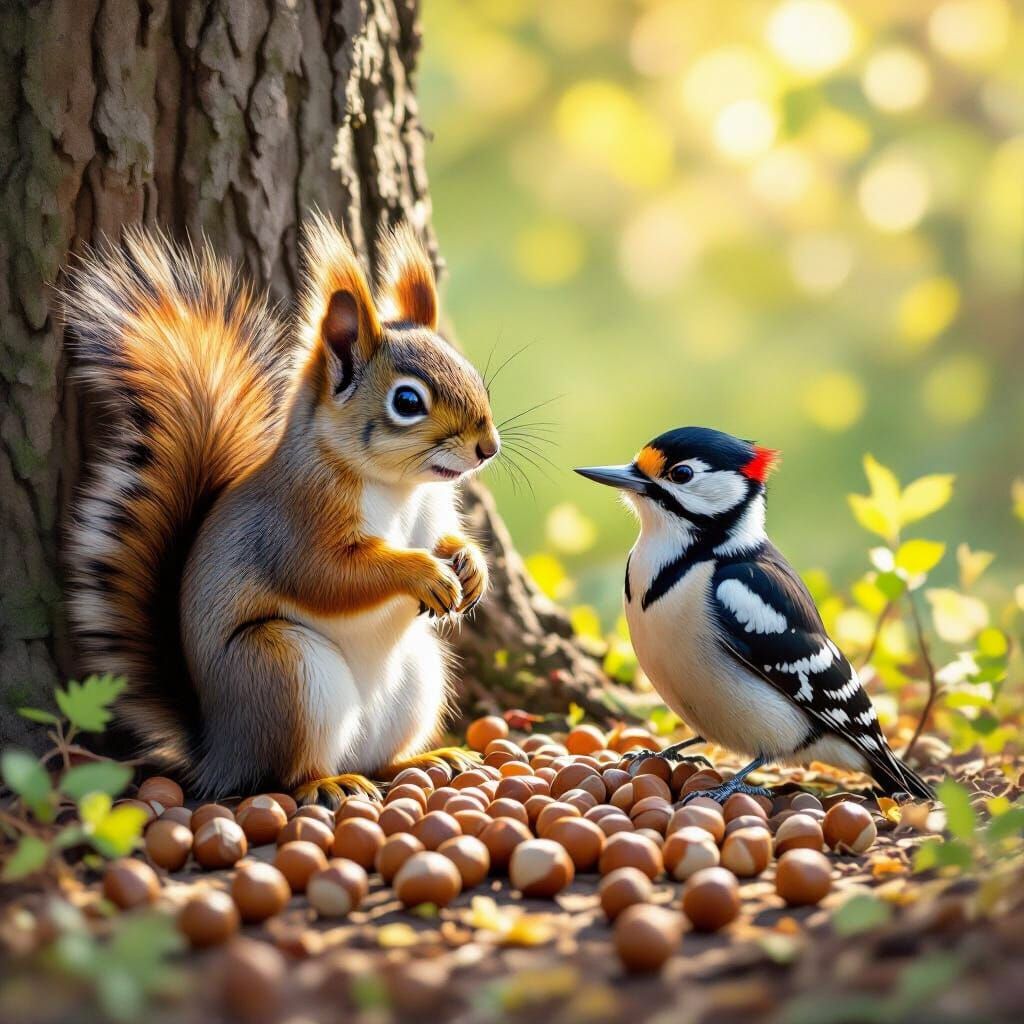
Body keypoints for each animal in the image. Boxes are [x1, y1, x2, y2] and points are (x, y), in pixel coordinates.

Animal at [64, 214, 500, 806]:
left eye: (472, 372)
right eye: (408, 402)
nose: (488, 447)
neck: (400, 487)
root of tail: (219, 749)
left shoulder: (432, 514)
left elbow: (445, 540)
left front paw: (470, 566)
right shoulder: (294, 523)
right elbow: (328, 575)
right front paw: (422, 572)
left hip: (418, 674)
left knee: (381, 759)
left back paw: (427, 756)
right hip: (283, 671)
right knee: (286, 775)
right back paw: (328, 780)